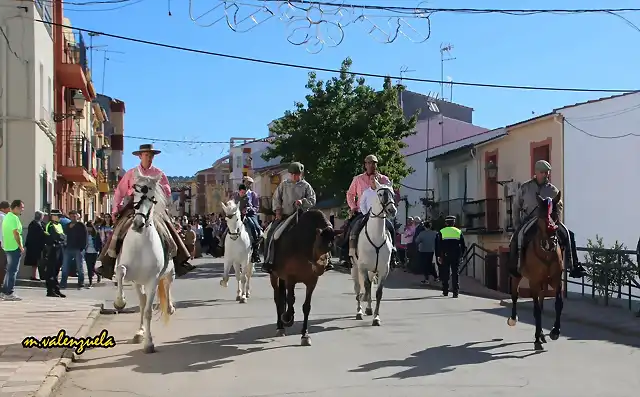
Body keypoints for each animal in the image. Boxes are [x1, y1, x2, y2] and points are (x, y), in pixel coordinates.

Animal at [114, 167, 175, 352]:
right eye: (135, 192)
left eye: (152, 196)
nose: (138, 224)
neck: (141, 242)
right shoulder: (131, 274)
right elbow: (120, 271)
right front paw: (119, 302)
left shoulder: (152, 280)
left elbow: (148, 311)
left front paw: (149, 343)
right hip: (138, 282)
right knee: (141, 303)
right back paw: (139, 332)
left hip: (169, 272)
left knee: (168, 284)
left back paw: (170, 307)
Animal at [268, 209, 336, 344]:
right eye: (319, 245)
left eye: (331, 246)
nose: (320, 268)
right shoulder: (290, 278)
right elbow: (290, 300)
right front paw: (287, 317)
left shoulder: (312, 281)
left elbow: (306, 307)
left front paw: (305, 335)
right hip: (274, 276)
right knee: (278, 299)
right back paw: (280, 326)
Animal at [350, 179, 396, 324]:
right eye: (380, 194)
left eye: (392, 194)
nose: (392, 210)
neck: (376, 237)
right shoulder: (363, 267)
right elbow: (365, 287)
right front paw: (361, 310)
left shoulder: (383, 269)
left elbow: (378, 293)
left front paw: (376, 317)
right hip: (355, 268)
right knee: (358, 288)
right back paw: (359, 311)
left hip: (371, 270)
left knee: (369, 286)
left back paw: (369, 309)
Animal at [508, 192, 564, 350]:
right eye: (541, 215)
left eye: (555, 213)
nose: (550, 241)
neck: (546, 253)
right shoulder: (533, 282)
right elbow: (536, 310)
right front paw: (537, 340)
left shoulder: (556, 280)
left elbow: (558, 304)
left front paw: (555, 331)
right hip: (517, 276)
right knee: (515, 295)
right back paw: (513, 319)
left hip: (543, 283)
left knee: (541, 300)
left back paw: (542, 335)